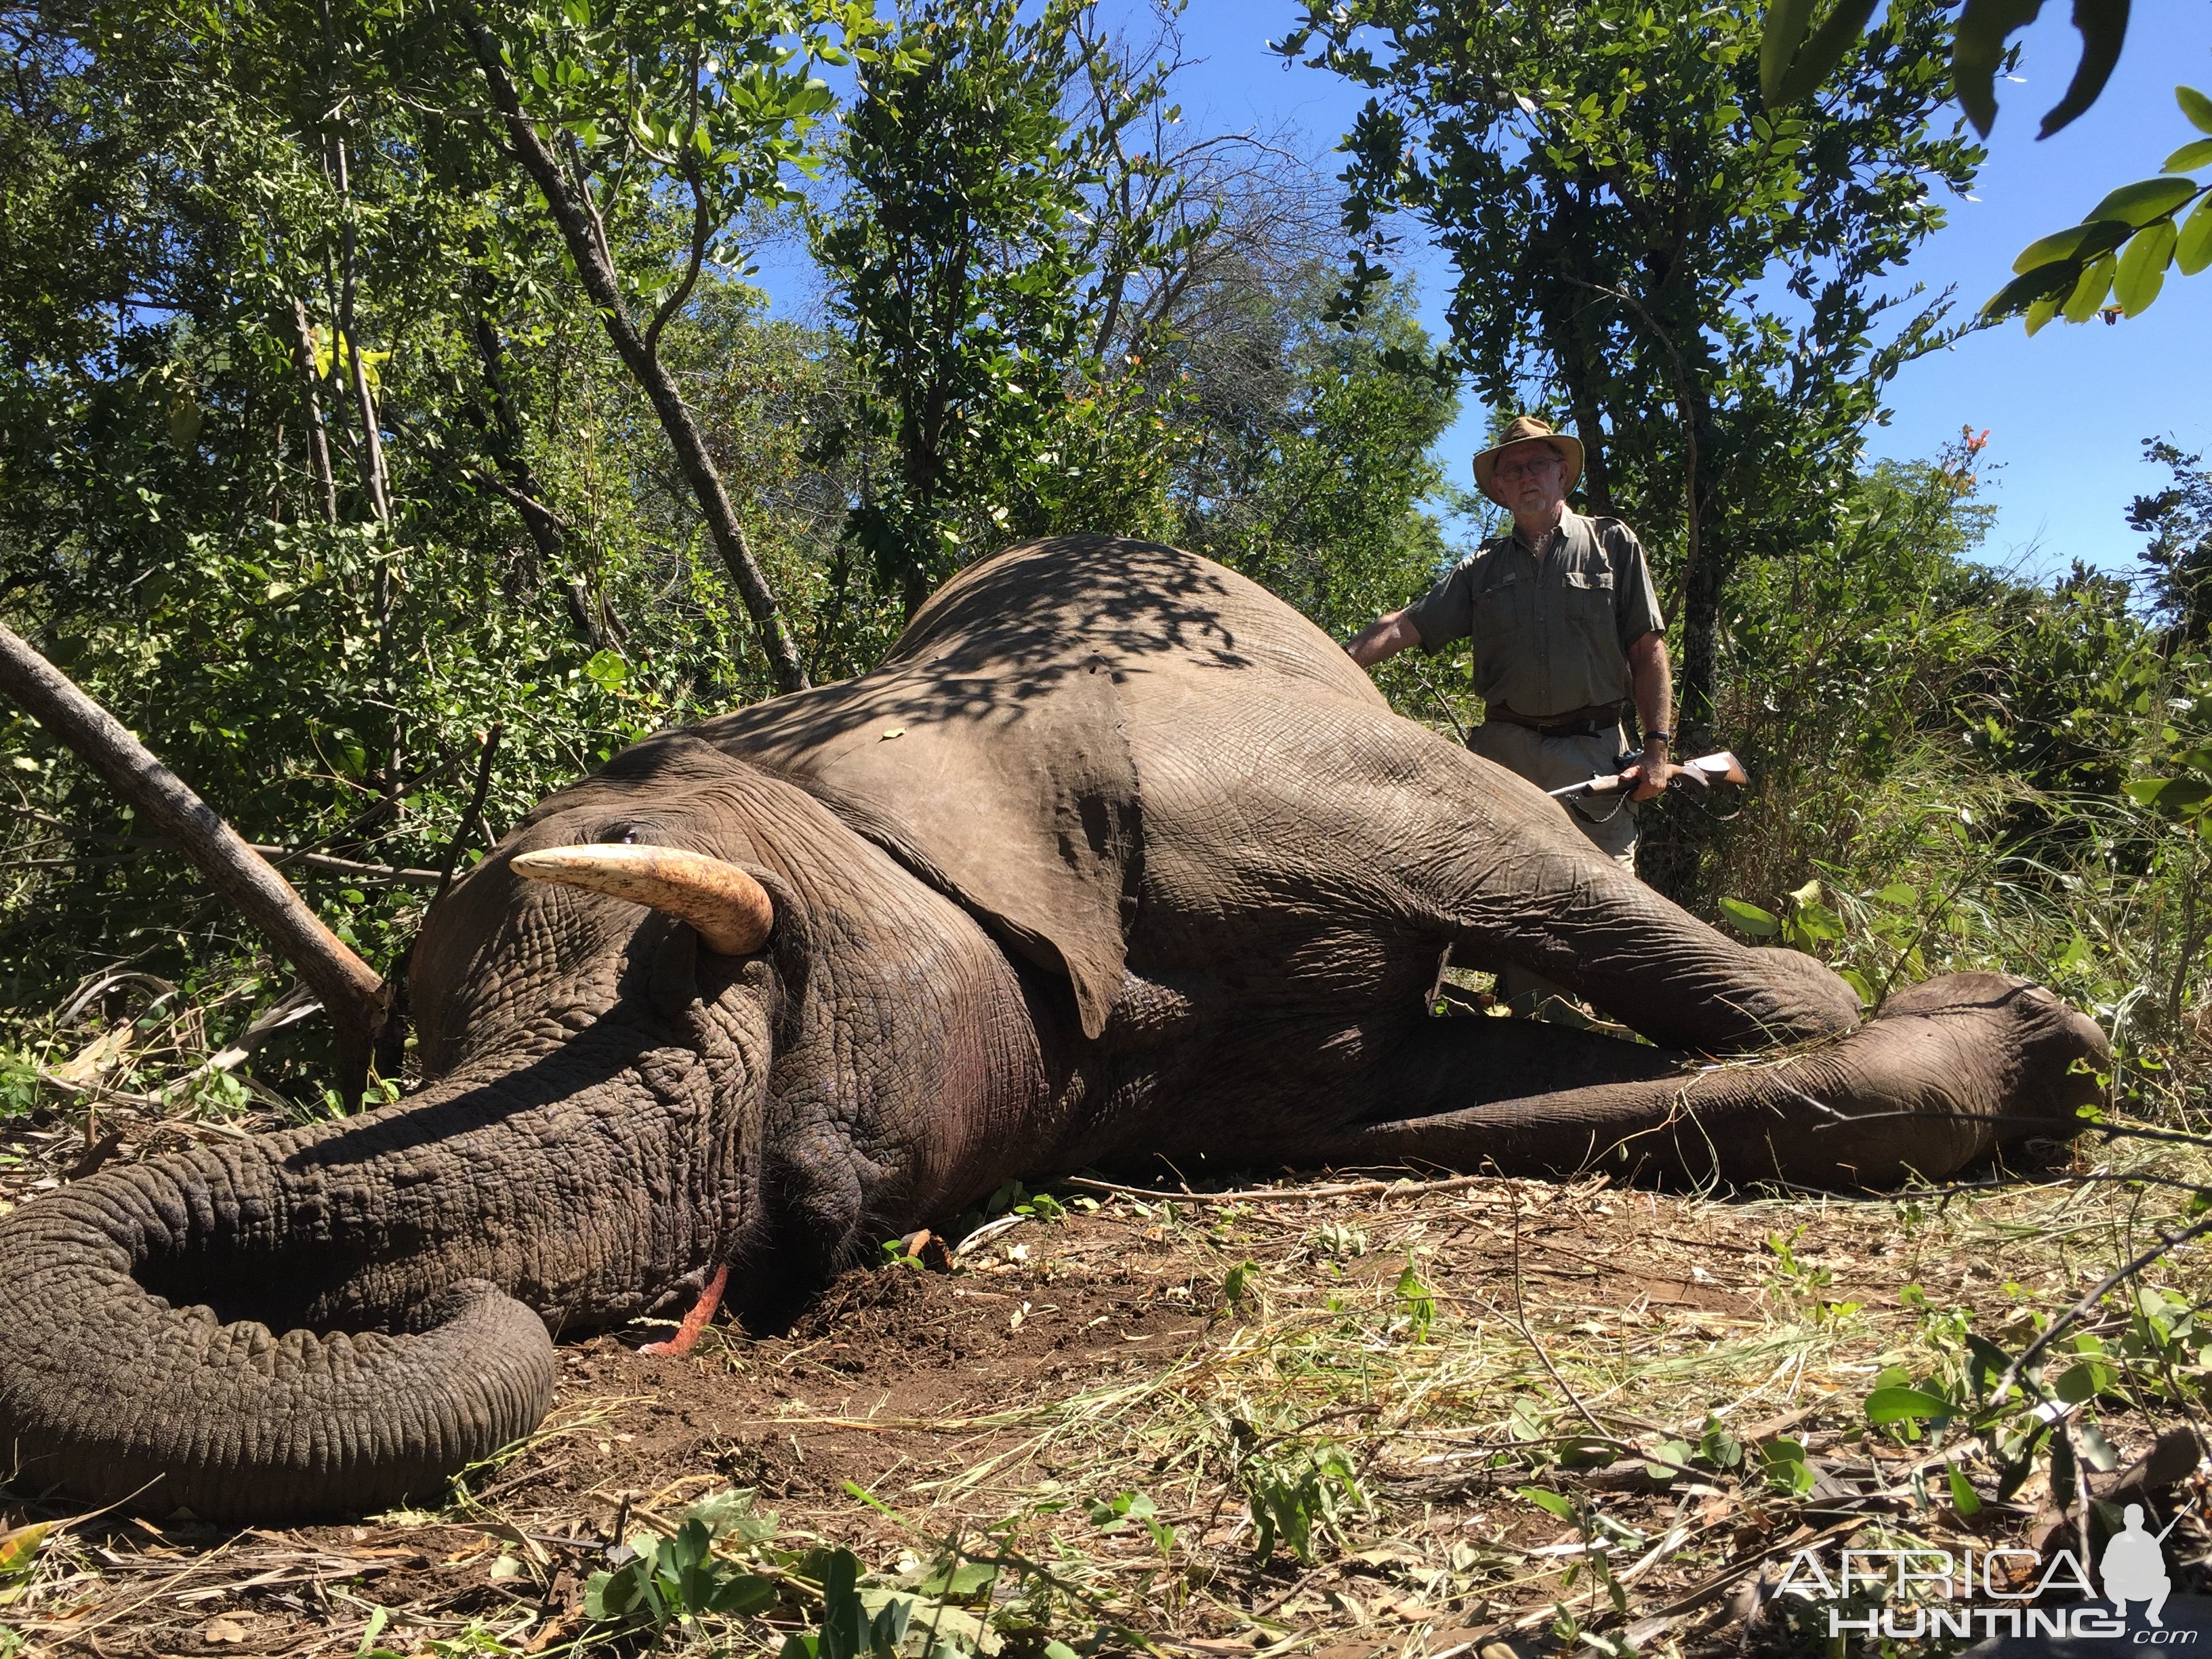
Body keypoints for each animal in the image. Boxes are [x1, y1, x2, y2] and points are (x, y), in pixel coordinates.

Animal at [0, 539, 2106, 1530]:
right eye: (414, 1049)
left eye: (702, 978)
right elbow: (1420, 1109)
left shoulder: (1271, 782)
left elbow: (1543, 872)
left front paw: (2032, 1045)